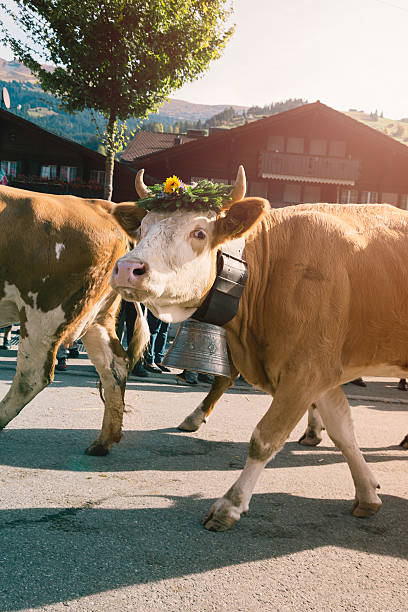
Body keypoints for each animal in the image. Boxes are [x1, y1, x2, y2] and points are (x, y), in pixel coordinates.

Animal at [0, 184, 150, 456]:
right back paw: (103, 441)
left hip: (44, 312)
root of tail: (105, 207)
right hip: (97, 318)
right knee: (115, 368)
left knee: (32, 376)